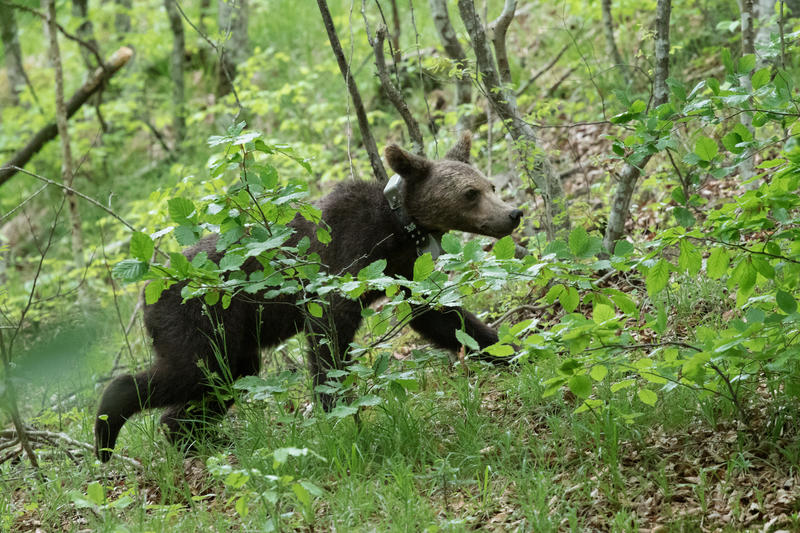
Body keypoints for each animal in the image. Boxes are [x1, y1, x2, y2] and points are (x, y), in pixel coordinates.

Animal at [94, 133, 520, 462]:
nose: (512, 213)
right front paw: (339, 416)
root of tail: (147, 290)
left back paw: (201, 439)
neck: (398, 231)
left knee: (224, 378)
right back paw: (106, 432)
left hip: (234, 342)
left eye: (490, 186)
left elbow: (441, 318)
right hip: (196, 320)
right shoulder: (343, 264)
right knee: (186, 371)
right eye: (469, 193)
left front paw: (509, 351)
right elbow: (329, 335)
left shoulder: (406, 270)